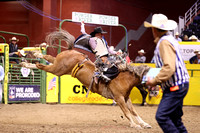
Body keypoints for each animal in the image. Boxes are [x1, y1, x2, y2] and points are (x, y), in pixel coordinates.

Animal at [21, 29, 152, 129]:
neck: (123, 78)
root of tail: (71, 51)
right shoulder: (119, 98)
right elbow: (126, 112)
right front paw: (135, 125)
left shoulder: (126, 98)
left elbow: (133, 111)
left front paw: (144, 124)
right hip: (57, 69)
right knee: (41, 65)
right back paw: (28, 61)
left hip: (57, 65)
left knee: (48, 58)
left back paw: (33, 57)